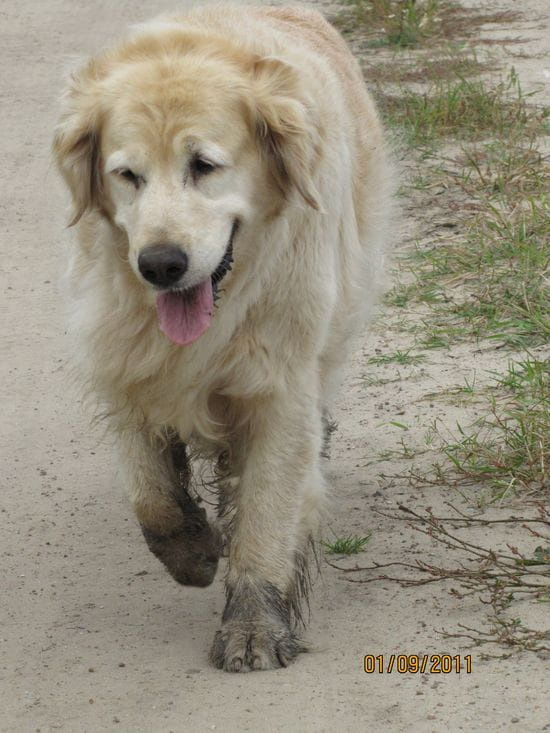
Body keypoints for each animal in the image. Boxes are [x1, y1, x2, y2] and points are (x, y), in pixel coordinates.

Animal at [54, 4, 394, 668]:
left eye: (204, 166)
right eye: (126, 175)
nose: (160, 264)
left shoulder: (280, 383)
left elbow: (267, 509)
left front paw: (255, 624)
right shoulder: (122, 354)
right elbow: (151, 493)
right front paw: (192, 550)